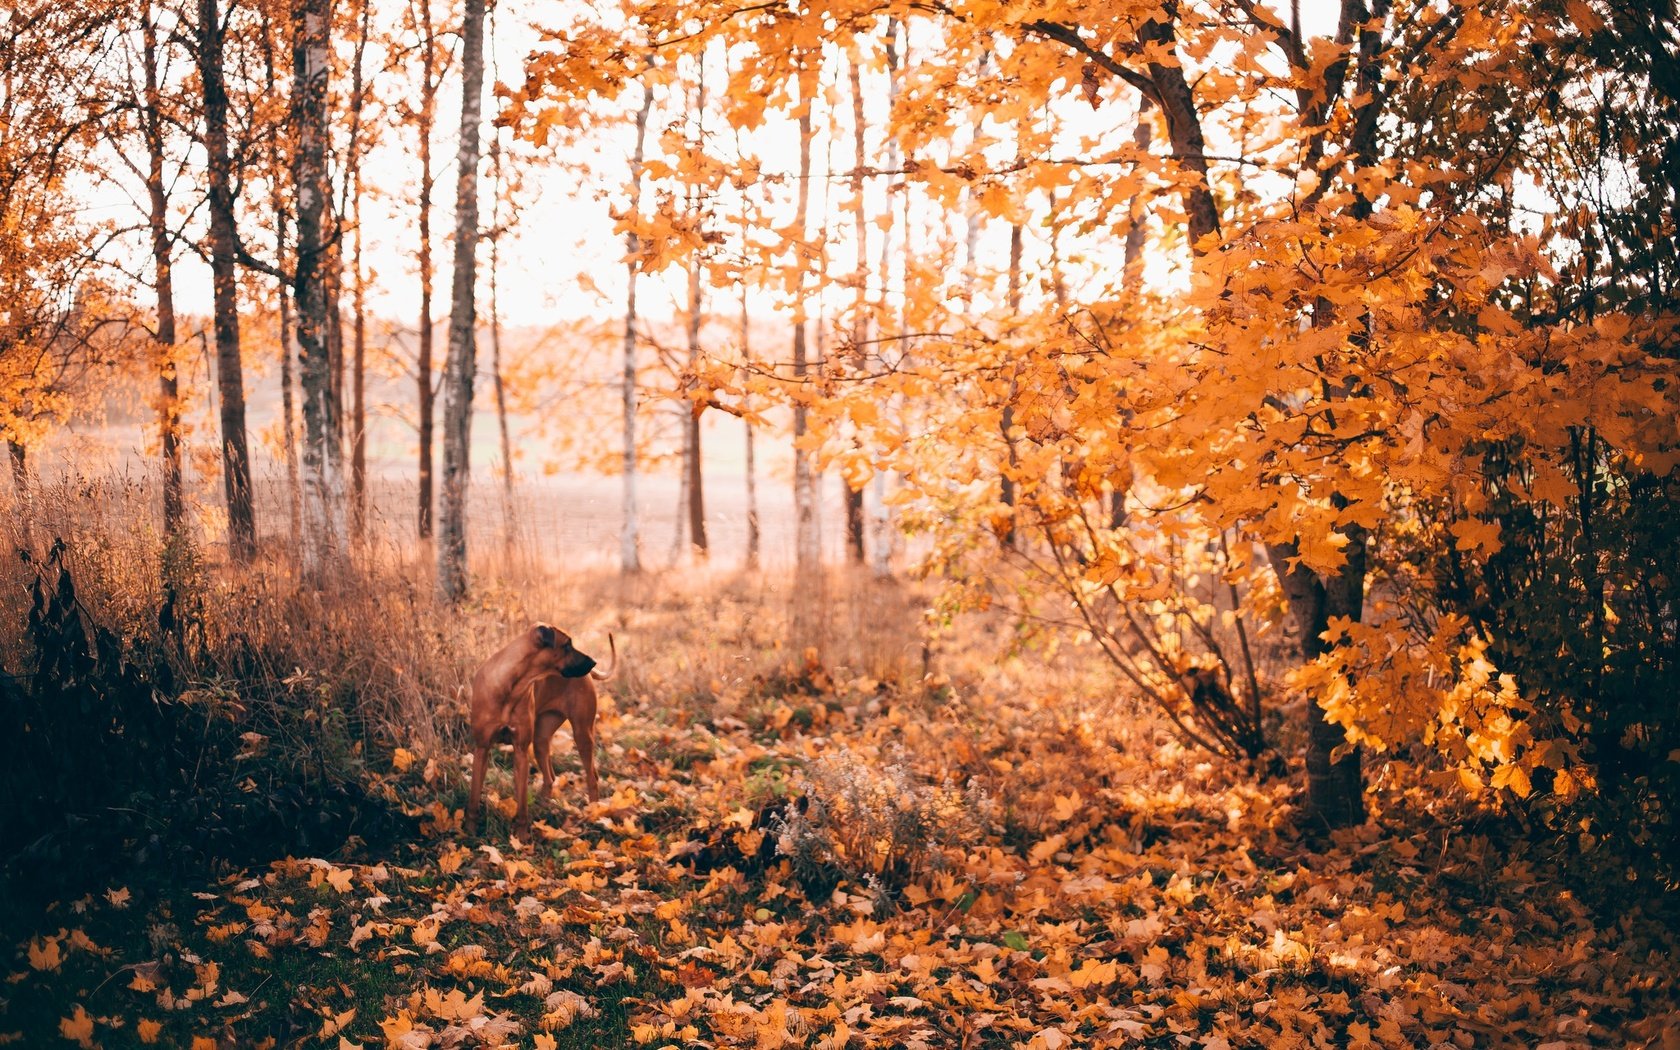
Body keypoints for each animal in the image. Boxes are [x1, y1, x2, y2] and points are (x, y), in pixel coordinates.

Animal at [467, 621, 618, 836]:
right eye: (567, 645)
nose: (593, 662)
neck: (511, 686)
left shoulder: (521, 750)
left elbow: (522, 803)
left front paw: (522, 836)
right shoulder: (481, 748)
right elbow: (473, 796)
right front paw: (469, 831)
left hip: (582, 733)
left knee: (592, 778)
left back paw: (593, 814)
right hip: (540, 739)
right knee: (550, 777)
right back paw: (543, 805)